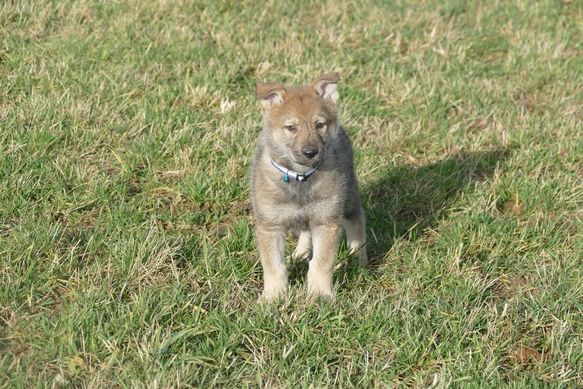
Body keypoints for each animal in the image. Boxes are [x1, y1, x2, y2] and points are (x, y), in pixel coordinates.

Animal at [252, 74, 370, 302]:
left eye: (320, 124)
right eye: (291, 127)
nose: (310, 152)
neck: (300, 178)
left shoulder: (326, 221)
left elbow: (321, 263)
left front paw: (319, 295)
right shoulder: (270, 225)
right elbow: (274, 266)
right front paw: (273, 297)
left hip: (348, 197)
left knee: (357, 221)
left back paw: (359, 260)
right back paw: (299, 254)